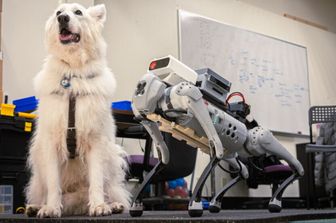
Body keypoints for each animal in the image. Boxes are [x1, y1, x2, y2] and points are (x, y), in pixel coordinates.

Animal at [24, 2, 130, 217]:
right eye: (59, 12)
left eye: (78, 12)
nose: (62, 18)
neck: (72, 75)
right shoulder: (51, 142)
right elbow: (53, 183)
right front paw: (51, 208)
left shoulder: (95, 141)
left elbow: (96, 181)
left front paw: (99, 206)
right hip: (38, 168)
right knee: (44, 191)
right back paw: (36, 207)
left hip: (112, 158)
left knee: (110, 188)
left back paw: (113, 204)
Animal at [130, 55, 304, 217]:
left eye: (142, 88)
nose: (140, 87)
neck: (165, 94)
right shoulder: (146, 118)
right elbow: (164, 157)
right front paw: (136, 205)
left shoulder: (190, 95)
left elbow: (216, 150)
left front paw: (195, 204)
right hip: (232, 153)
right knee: (243, 170)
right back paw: (217, 202)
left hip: (251, 142)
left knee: (263, 139)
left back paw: (281, 195)